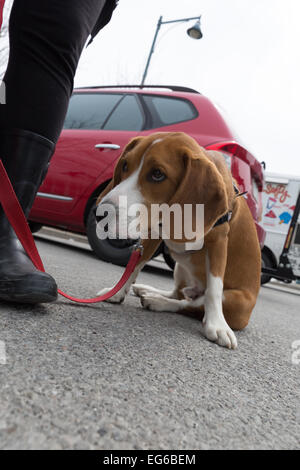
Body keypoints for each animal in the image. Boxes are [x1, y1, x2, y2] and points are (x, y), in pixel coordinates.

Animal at [96, 132, 260, 348]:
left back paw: (157, 302)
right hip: (180, 269)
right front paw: (117, 291)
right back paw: (147, 291)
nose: (99, 213)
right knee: (178, 293)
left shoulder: (218, 242)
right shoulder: (152, 233)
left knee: (190, 304)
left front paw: (217, 325)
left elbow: (214, 289)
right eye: (124, 165)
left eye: (158, 174)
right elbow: (134, 266)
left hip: (237, 302)